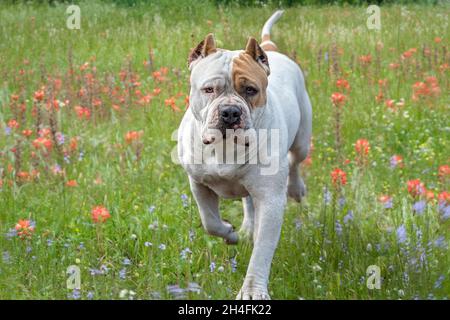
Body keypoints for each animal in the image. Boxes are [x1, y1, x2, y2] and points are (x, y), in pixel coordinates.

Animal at [178, 10, 312, 300]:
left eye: (250, 90)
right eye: (209, 90)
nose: (230, 112)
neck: (225, 148)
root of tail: (272, 50)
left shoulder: (270, 200)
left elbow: (262, 252)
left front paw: (253, 290)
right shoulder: (198, 184)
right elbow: (210, 221)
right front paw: (230, 233)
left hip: (302, 140)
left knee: (295, 162)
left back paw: (295, 189)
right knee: (248, 201)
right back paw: (247, 229)